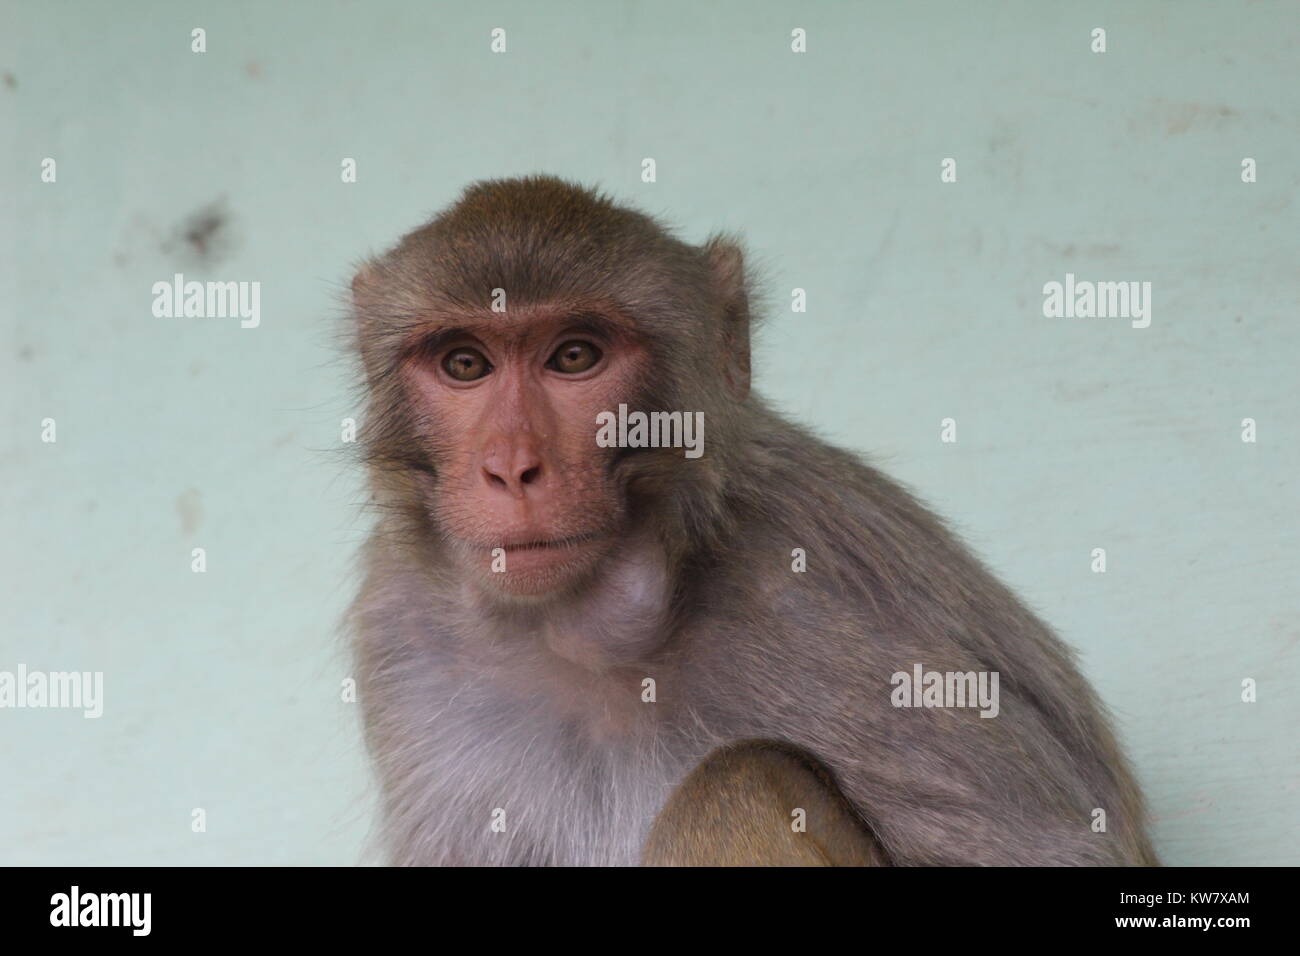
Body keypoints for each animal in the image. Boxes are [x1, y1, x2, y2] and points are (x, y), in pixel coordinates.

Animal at [347, 175, 1158, 867]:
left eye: (574, 356)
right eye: (464, 365)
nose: (512, 468)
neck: (595, 640)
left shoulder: (817, 603)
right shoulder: (399, 628)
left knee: (735, 781)